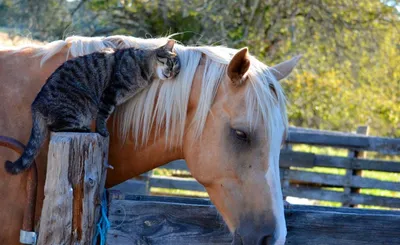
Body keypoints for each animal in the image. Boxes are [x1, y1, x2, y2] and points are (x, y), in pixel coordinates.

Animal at [4, 39, 180, 174]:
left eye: (177, 71)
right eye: (170, 63)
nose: (171, 74)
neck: (145, 69)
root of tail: (36, 105)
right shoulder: (110, 93)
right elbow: (103, 115)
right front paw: (103, 131)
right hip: (79, 105)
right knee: (57, 127)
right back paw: (83, 128)